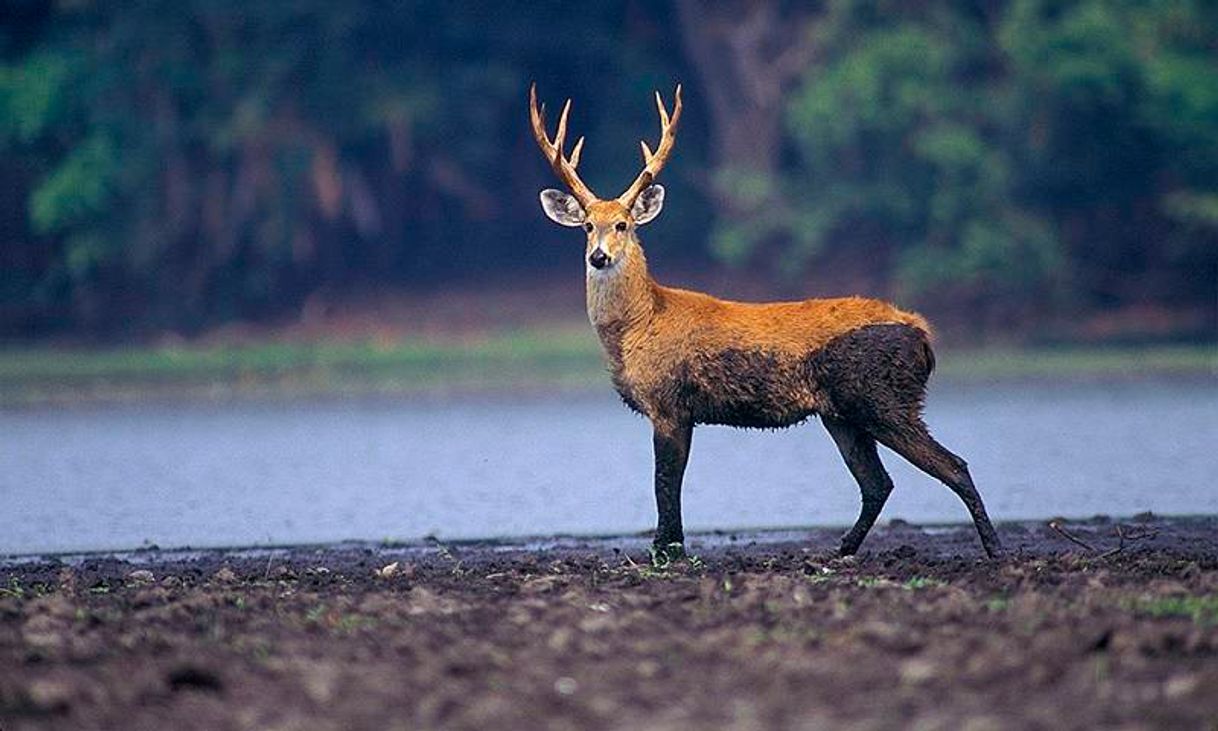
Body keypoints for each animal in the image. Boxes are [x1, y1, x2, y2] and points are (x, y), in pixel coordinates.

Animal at [528, 81, 1003, 560]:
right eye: (587, 225)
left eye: (623, 224)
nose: (599, 257)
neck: (639, 325)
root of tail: (923, 337)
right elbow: (669, 483)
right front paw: (668, 547)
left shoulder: (669, 402)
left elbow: (665, 483)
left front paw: (667, 550)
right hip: (842, 413)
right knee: (878, 483)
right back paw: (840, 549)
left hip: (883, 397)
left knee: (953, 465)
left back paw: (994, 549)